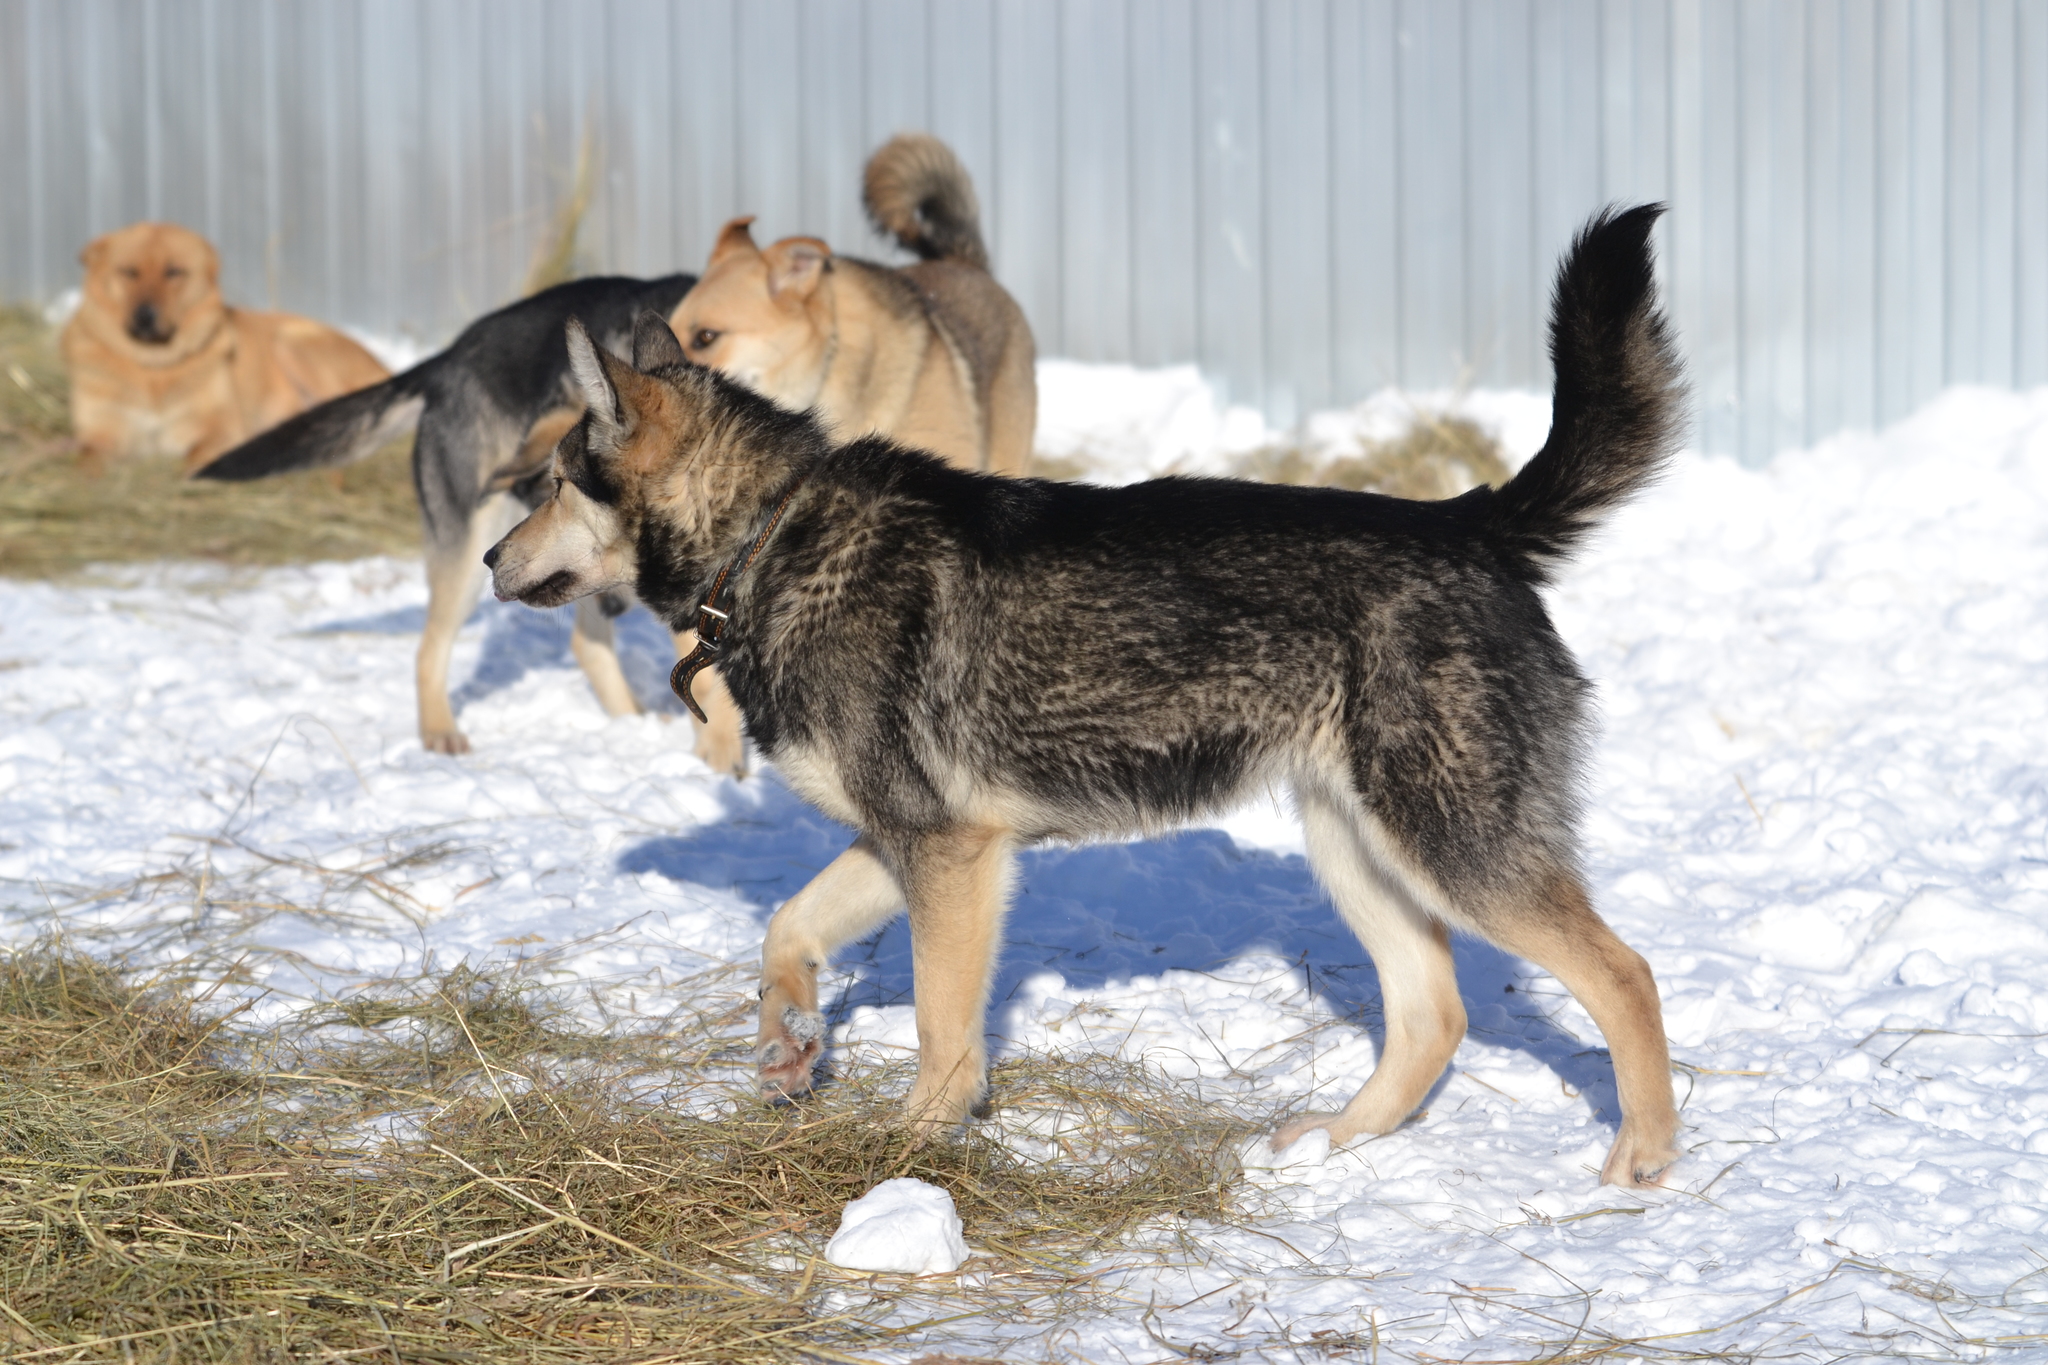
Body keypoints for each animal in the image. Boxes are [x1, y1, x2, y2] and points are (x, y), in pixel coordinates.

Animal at [64, 224, 391, 474]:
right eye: (129, 271)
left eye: (174, 272)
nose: (145, 317)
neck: (153, 367)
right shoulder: (104, 434)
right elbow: (87, 462)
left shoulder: (223, 430)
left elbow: (193, 458)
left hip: (289, 342)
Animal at [199, 266, 696, 757]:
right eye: (554, 499)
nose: (614, 603)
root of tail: (450, 356)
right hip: (473, 551)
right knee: (431, 648)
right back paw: (440, 729)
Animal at [487, 202, 1687, 1186]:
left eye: (554, 484)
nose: (493, 556)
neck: (767, 533)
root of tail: (1471, 521)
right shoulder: (915, 841)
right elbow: (788, 925)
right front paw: (788, 1046)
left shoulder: (949, 859)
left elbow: (944, 1033)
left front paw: (909, 1151)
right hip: (1356, 844)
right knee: (1432, 1013)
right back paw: (1325, 1146)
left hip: (1454, 849)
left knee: (1625, 974)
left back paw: (1641, 1158)